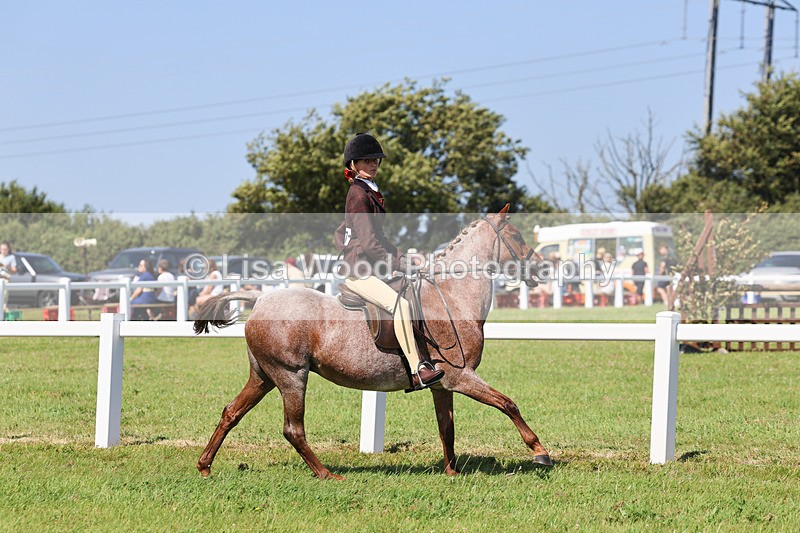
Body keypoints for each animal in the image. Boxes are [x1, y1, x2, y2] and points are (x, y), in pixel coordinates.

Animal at [193, 205, 552, 479]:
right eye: (517, 236)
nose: (544, 270)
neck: (451, 297)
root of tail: (260, 299)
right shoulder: (461, 377)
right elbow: (508, 404)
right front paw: (540, 452)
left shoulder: (442, 385)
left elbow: (446, 427)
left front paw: (453, 472)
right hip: (291, 375)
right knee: (292, 429)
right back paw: (326, 474)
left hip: (264, 375)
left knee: (231, 412)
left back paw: (205, 465)